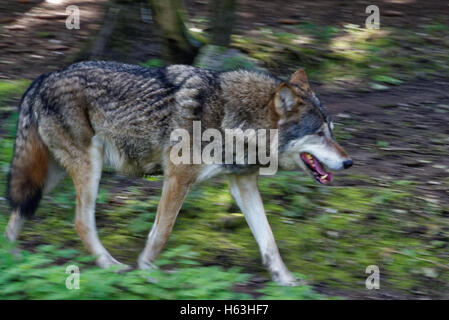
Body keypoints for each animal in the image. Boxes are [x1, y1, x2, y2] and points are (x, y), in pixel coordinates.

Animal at [5, 61, 352, 286]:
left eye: (332, 131)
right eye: (319, 133)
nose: (348, 163)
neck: (236, 120)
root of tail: (43, 76)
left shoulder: (243, 184)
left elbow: (268, 240)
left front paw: (286, 280)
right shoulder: (177, 178)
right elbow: (161, 233)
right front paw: (147, 271)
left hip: (51, 176)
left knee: (19, 211)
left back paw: (11, 259)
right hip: (89, 169)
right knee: (79, 221)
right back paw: (110, 265)